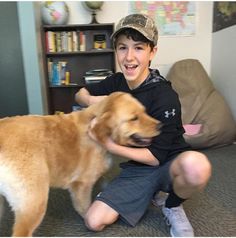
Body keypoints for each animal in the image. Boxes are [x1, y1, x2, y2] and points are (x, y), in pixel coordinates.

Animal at [0, 91, 161, 236]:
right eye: (134, 118)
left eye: (145, 111)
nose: (161, 125)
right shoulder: (82, 184)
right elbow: (85, 209)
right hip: (34, 203)